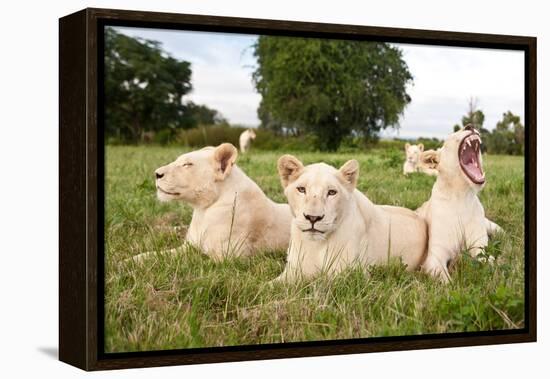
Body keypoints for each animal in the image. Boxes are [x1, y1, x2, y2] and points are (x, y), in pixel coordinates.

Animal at [132, 142, 294, 262]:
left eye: (187, 164)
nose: (156, 174)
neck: (202, 211)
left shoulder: (229, 258)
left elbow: (196, 261)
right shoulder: (189, 246)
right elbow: (156, 254)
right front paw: (130, 261)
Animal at [274, 154, 430, 282]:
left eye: (332, 192)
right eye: (301, 189)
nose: (313, 217)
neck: (316, 245)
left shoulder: (349, 275)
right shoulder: (292, 271)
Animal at [418, 126, 504, 284]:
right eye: (452, 135)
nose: (470, 126)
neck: (461, 195)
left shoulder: (479, 248)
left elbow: (491, 263)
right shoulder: (435, 257)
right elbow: (446, 281)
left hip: (493, 227)